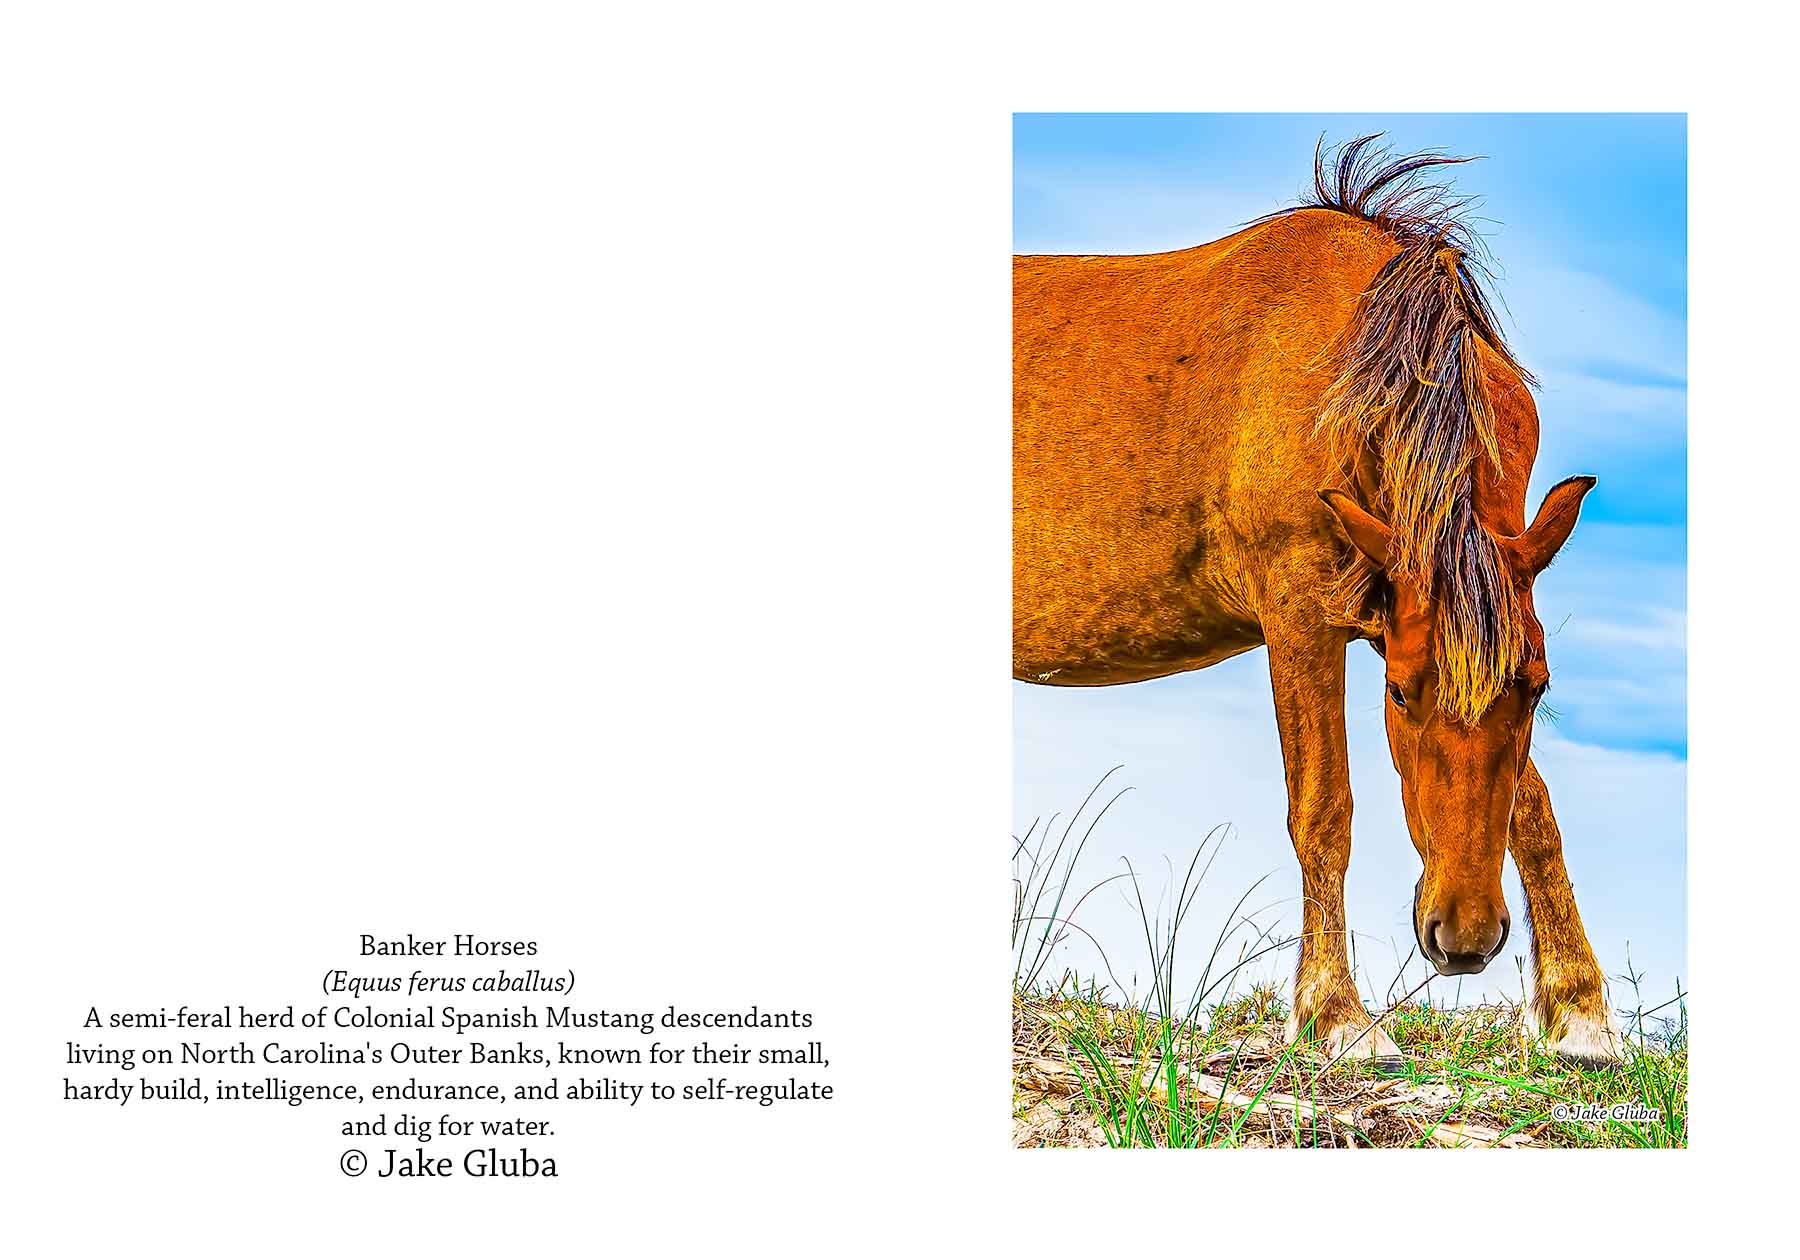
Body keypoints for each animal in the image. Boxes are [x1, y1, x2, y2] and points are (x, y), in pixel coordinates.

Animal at [1013, 137, 1620, 1063]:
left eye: (1539, 689)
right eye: (1400, 695)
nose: (1464, 939)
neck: (1351, 375)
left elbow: (1533, 808)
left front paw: (1579, 1010)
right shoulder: (1302, 616)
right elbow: (1323, 809)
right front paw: (1336, 1014)